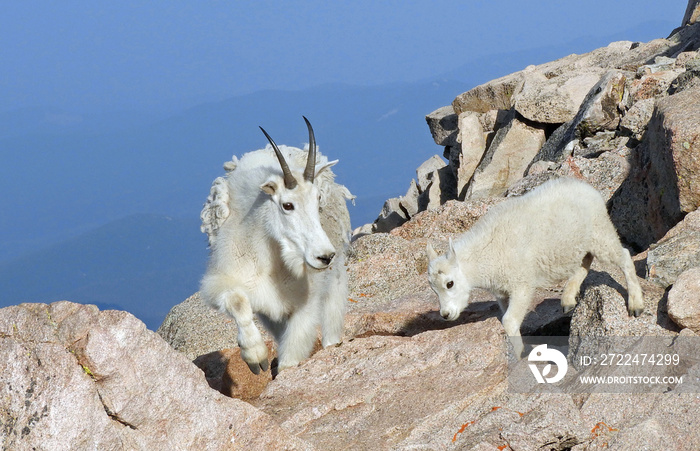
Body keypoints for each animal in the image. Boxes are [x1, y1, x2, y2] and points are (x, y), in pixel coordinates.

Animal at [201, 116, 356, 374]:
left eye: (318, 199)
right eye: (287, 205)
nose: (324, 256)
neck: (268, 257)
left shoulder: (306, 302)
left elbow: (290, 357)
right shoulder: (225, 281)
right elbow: (237, 301)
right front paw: (256, 357)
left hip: (335, 276)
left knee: (333, 314)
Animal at [424, 178, 644, 358]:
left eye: (450, 283)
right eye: (433, 289)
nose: (446, 314)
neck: (485, 254)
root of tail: (589, 189)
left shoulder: (521, 284)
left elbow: (509, 321)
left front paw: (521, 354)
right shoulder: (502, 293)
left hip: (600, 232)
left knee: (623, 256)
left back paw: (636, 304)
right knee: (584, 262)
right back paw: (568, 300)